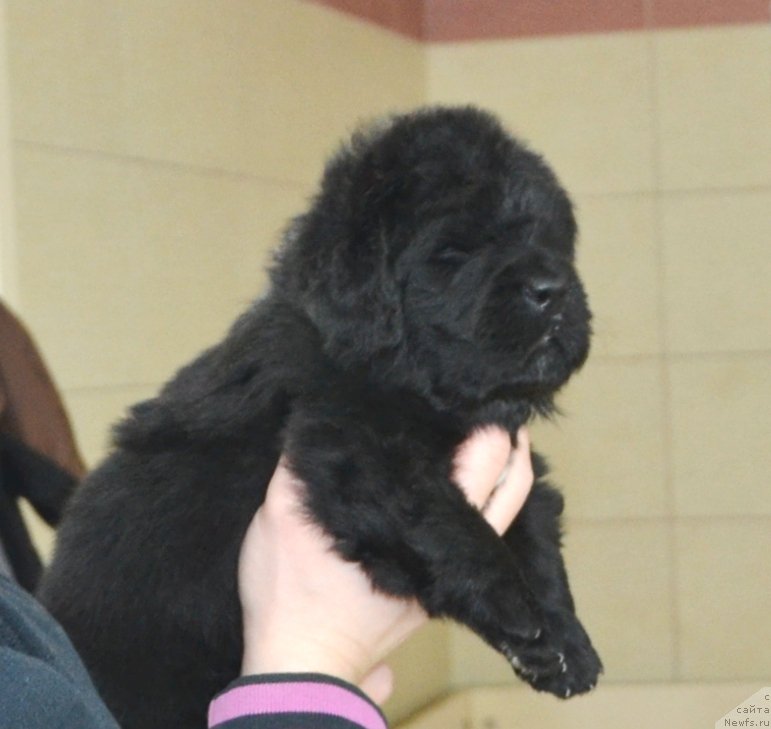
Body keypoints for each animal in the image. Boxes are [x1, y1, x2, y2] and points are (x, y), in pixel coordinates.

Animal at [37, 106, 604, 728]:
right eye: (453, 253)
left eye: (548, 240)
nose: (552, 289)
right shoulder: (357, 450)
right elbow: (450, 527)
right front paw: (514, 606)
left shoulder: (509, 460)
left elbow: (534, 533)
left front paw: (562, 643)